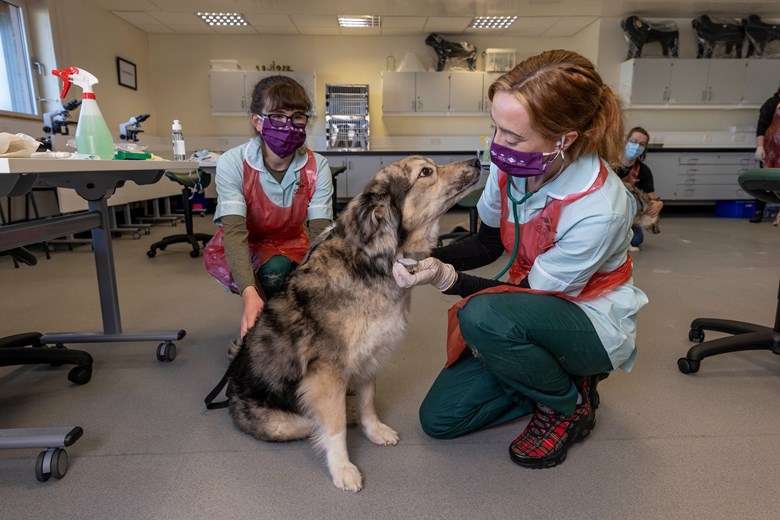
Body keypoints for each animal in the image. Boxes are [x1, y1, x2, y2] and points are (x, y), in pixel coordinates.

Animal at [225, 156, 481, 492]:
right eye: (425, 172)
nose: (476, 160)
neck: (371, 262)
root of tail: (230, 388)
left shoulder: (371, 355)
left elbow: (368, 401)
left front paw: (374, 430)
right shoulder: (327, 372)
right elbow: (334, 430)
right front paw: (343, 469)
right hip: (284, 420)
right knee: (314, 421)